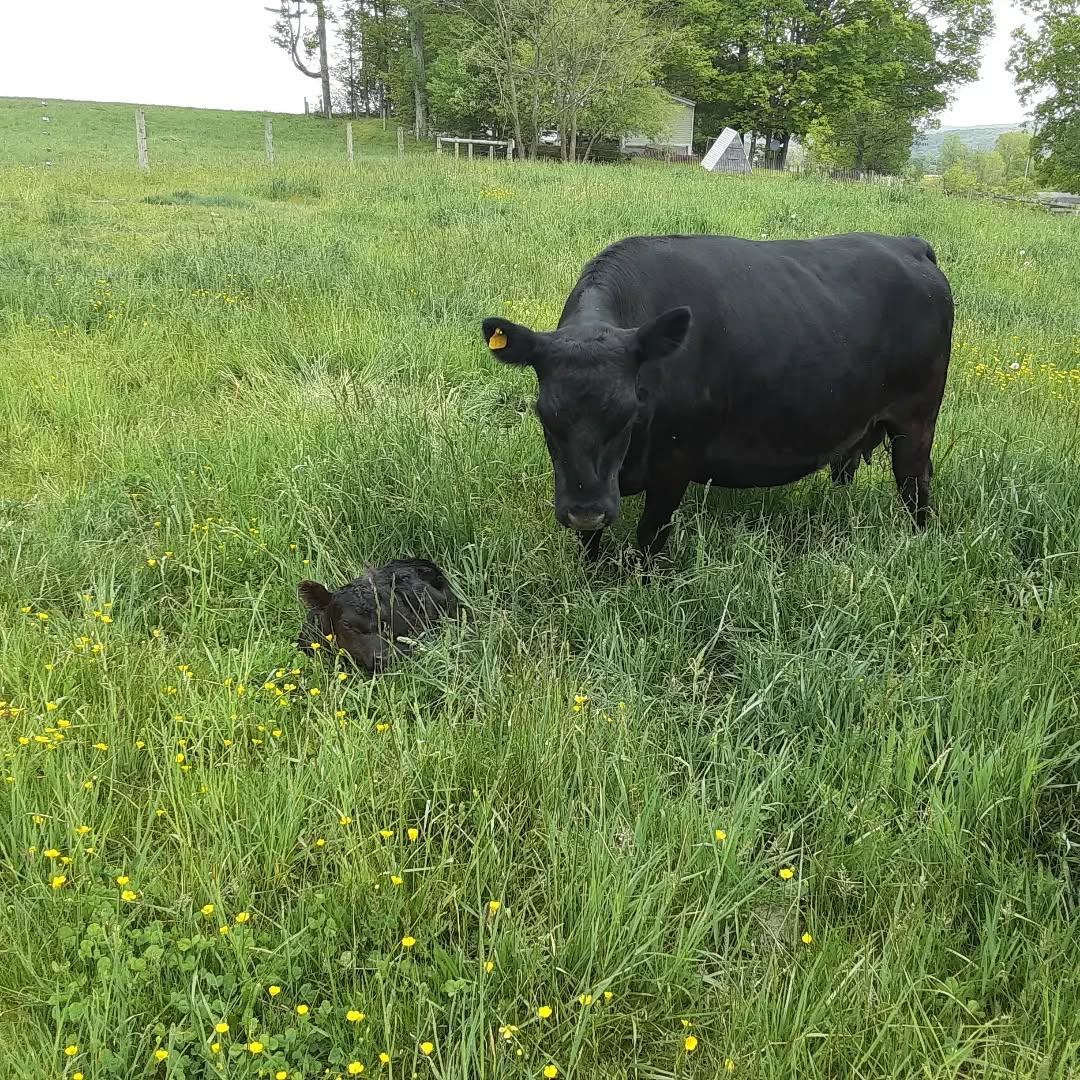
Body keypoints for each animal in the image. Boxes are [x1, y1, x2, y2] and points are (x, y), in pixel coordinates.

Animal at [482, 232, 953, 560]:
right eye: (546, 415)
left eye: (628, 414)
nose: (585, 510)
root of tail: (908, 244)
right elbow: (590, 542)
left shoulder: (675, 462)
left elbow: (649, 537)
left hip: (916, 420)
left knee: (914, 485)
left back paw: (917, 539)